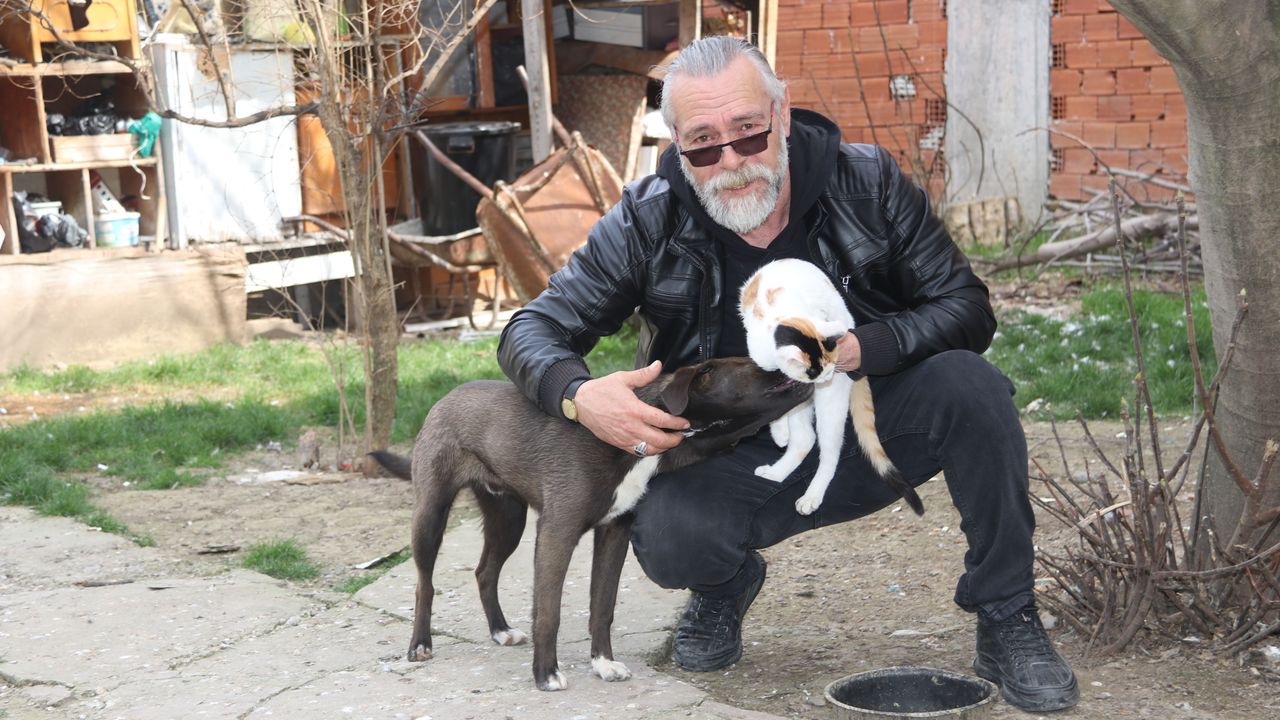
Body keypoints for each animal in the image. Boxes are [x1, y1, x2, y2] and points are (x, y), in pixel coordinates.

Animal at [368, 357, 812, 691]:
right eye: (754, 363)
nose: (813, 356)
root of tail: (444, 399)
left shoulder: (614, 532)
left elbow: (602, 606)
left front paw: (603, 663)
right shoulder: (556, 533)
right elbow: (549, 611)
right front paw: (545, 674)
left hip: (508, 517)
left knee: (484, 572)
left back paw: (500, 630)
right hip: (431, 514)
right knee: (424, 584)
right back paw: (420, 644)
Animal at [739, 258, 924, 517]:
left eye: (830, 367)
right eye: (814, 373)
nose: (824, 379)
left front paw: (780, 433)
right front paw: (780, 431)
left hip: (831, 405)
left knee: (829, 452)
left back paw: (812, 495)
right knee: (805, 439)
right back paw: (775, 473)